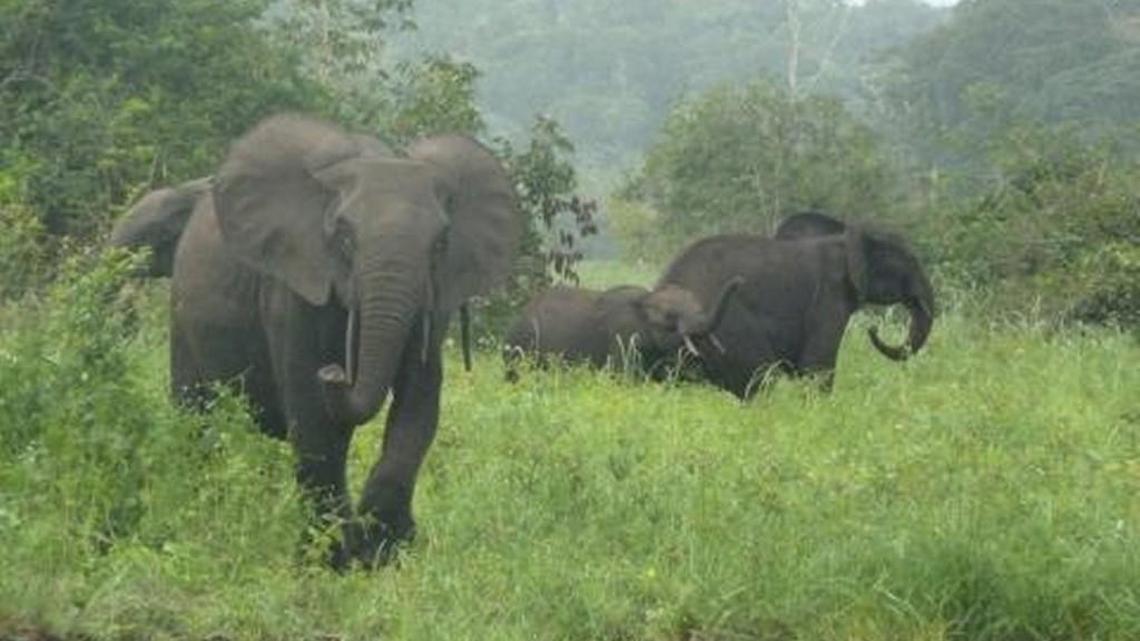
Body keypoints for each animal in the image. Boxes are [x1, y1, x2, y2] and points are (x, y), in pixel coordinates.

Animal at [108, 113, 521, 567]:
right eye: (344, 237)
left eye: (441, 244)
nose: (336, 372)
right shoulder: (293, 285)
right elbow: (311, 411)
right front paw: (332, 559)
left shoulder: (434, 297)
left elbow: (419, 402)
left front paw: (385, 550)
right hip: (185, 320)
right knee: (196, 415)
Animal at [657, 216, 934, 399]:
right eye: (910, 263)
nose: (873, 330)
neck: (845, 239)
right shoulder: (828, 296)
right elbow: (816, 366)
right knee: (760, 377)